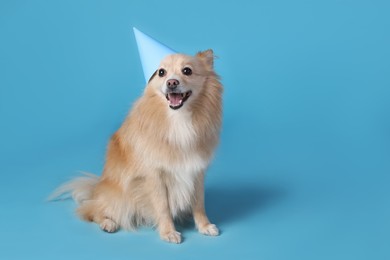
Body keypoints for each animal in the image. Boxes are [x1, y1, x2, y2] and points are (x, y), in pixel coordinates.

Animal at [49, 49, 222, 244]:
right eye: (161, 72)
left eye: (187, 71)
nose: (171, 82)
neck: (179, 119)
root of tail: (96, 188)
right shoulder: (155, 176)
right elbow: (163, 207)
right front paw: (168, 232)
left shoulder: (197, 172)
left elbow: (199, 204)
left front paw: (204, 226)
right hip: (119, 199)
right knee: (92, 211)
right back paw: (108, 223)